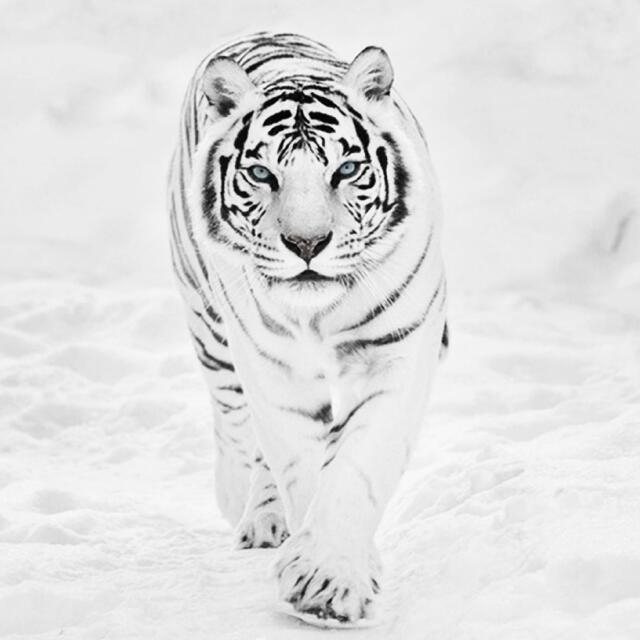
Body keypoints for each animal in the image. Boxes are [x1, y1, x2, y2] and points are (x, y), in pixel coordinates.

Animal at [167, 32, 448, 626]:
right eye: (261, 174)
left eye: (345, 171)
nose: (306, 244)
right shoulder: (274, 368)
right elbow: (298, 459)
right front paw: (325, 574)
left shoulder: (396, 351)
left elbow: (358, 463)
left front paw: (330, 579)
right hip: (210, 326)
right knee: (235, 422)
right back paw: (248, 509)